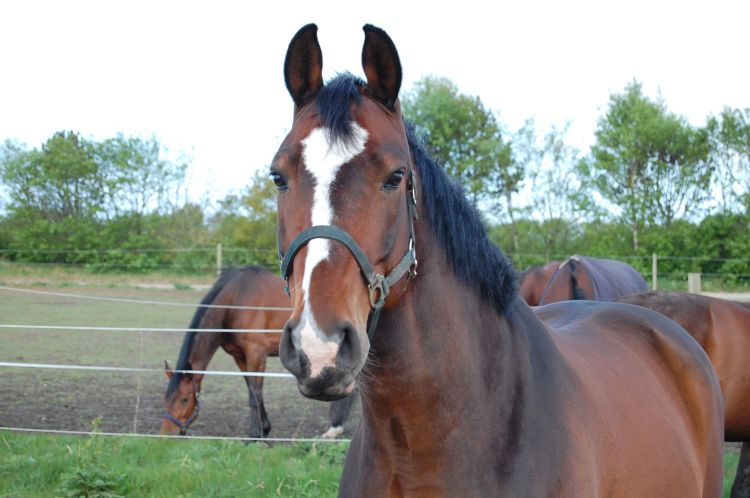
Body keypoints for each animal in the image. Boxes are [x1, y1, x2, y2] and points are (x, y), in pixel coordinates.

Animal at [160, 266, 356, 439]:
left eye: (184, 399)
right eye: (166, 397)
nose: (166, 434)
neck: (235, 301)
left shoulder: (256, 354)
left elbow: (255, 393)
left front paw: (255, 434)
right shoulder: (240, 356)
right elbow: (252, 391)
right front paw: (264, 430)